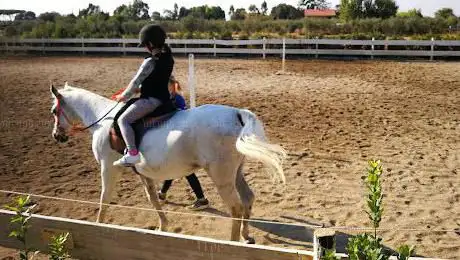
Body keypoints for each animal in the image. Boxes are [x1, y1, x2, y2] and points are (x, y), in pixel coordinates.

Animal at [51, 84, 288, 244]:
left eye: (54, 111)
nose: (56, 136)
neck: (103, 121)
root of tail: (236, 113)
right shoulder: (143, 173)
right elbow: (153, 199)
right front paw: (162, 226)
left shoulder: (108, 169)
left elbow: (104, 200)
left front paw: (97, 226)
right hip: (236, 173)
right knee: (247, 198)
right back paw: (247, 237)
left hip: (222, 177)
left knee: (236, 208)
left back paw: (232, 243)